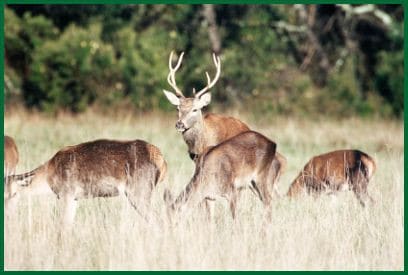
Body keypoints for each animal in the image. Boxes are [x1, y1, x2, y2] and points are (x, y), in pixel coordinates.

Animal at [3, 139, 167, 225]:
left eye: (12, 194)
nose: (6, 217)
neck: (49, 176)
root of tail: (161, 160)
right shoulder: (75, 198)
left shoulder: (66, 193)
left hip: (139, 191)